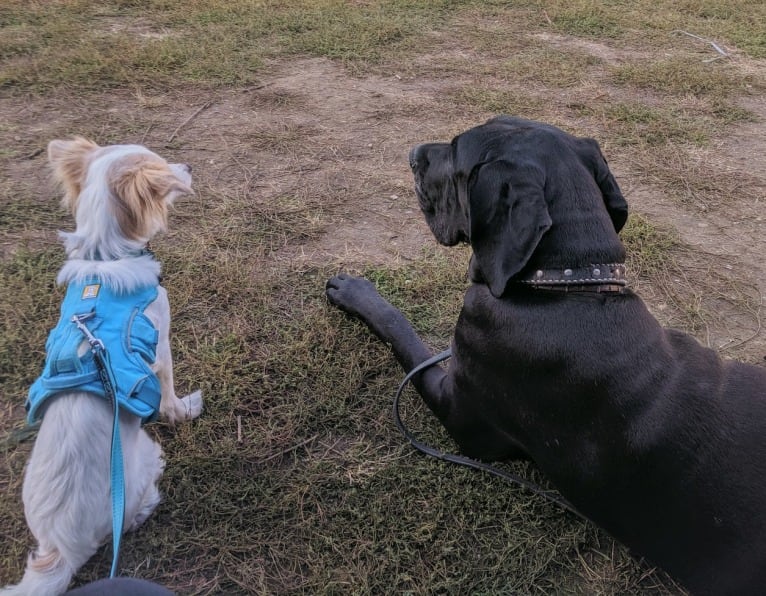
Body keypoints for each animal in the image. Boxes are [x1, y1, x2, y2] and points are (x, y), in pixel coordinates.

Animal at [4, 137, 202, 592]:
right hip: (140, 459)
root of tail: (58, 549)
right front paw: (183, 409)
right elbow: (169, 393)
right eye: (162, 165)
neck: (104, 255)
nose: (187, 165)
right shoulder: (161, 342)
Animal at [328, 114, 766, 592]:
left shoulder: (463, 415)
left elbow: (402, 333)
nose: (413, 154)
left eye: (456, 151)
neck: (566, 286)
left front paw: (356, 291)